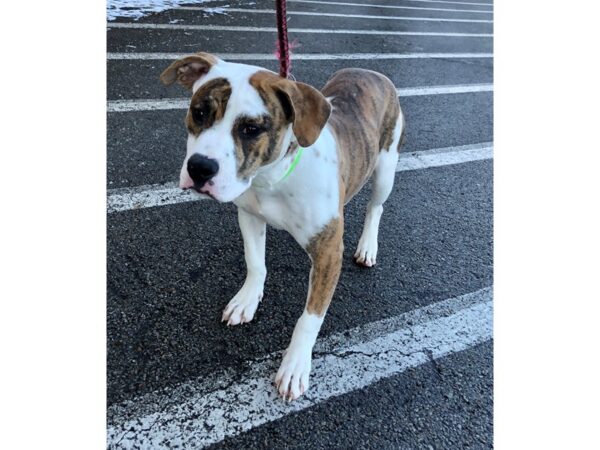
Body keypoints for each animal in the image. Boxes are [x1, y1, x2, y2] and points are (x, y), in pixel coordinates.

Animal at [159, 52, 406, 400]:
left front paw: (295, 364)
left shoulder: (328, 253)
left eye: (251, 128)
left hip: (386, 167)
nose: (200, 168)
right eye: (200, 112)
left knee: (376, 206)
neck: (271, 178)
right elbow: (255, 263)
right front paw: (247, 300)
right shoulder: (248, 215)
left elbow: (310, 317)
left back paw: (368, 245)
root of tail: (372, 72)